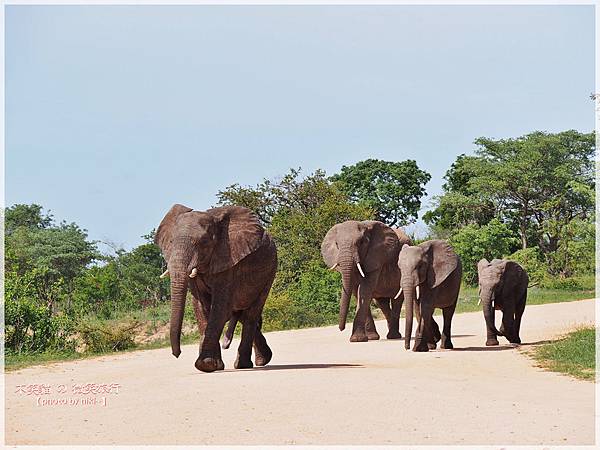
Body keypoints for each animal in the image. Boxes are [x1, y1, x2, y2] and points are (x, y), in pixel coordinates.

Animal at [155, 204, 276, 372]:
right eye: (171, 242)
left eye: (204, 242)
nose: (177, 353)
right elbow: (200, 306)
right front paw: (213, 366)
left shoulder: (229, 260)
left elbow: (220, 308)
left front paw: (206, 365)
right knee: (242, 314)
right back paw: (261, 360)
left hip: (270, 272)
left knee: (251, 313)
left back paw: (244, 365)